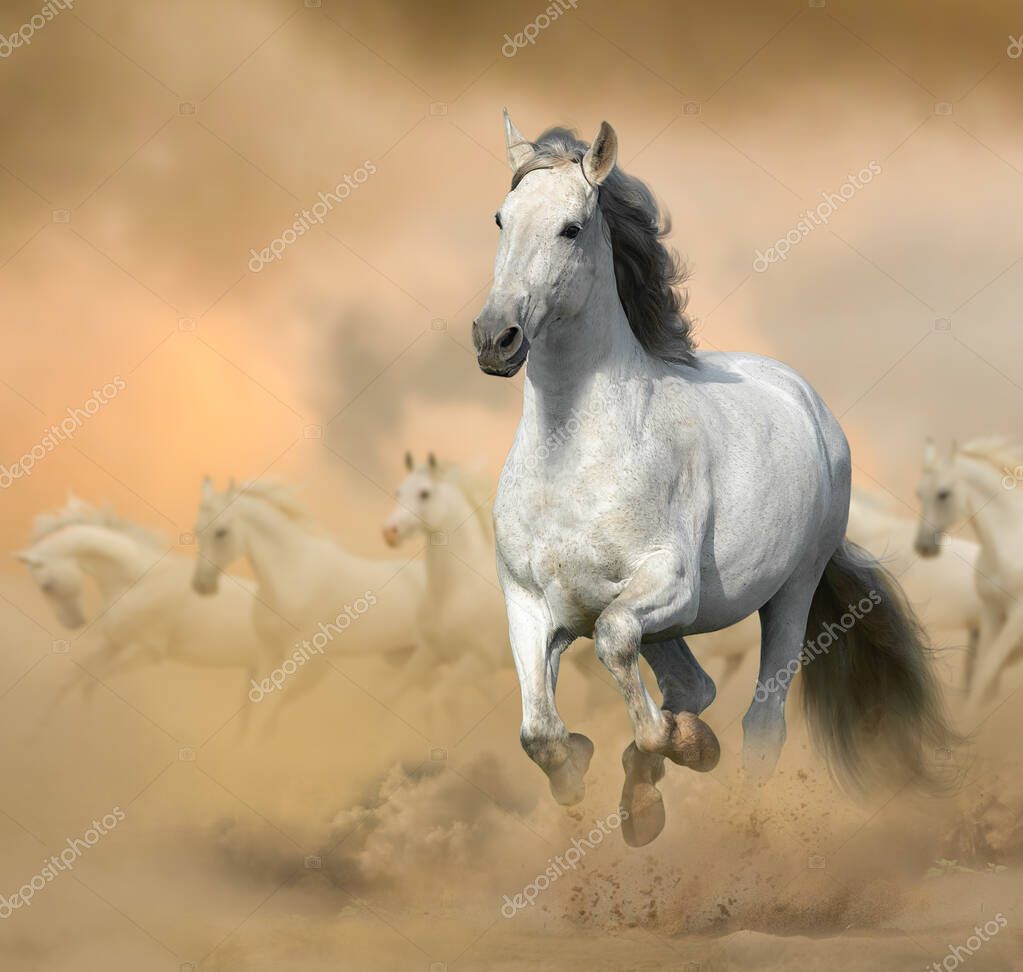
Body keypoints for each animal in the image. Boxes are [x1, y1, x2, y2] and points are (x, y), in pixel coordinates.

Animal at [15, 496, 261, 722]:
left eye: (46, 586)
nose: (74, 623)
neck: (137, 580)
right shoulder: (115, 643)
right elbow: (72, 679)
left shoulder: (146, 651)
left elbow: (90, 680)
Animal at [191, 478, 425, 724]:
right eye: (196, 531)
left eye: (221, 532)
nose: (201, 585)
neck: (292, 572)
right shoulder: (268, 649)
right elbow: (259, 708)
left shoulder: (296, 656)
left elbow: (267, 709)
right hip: (399, 657)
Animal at [471, 112, 958, 846]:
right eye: (502, 218)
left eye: (571, 228)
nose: (493, 338)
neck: (572, 459)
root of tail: (803, 397)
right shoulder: (531, 604)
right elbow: (541, 733)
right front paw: (600, 774)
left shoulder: (670, 584)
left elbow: (620, 655)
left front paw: (680, 754)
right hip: (669, 622)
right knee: (688, 687)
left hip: (791, 591)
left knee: (760, 723)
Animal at [915, 437, 1023, 714]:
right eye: (919, 494)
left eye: (943, 493)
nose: (923, 547)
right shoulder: (991, 614)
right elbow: (981, 677)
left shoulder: (1016, 619)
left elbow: (985, 673)